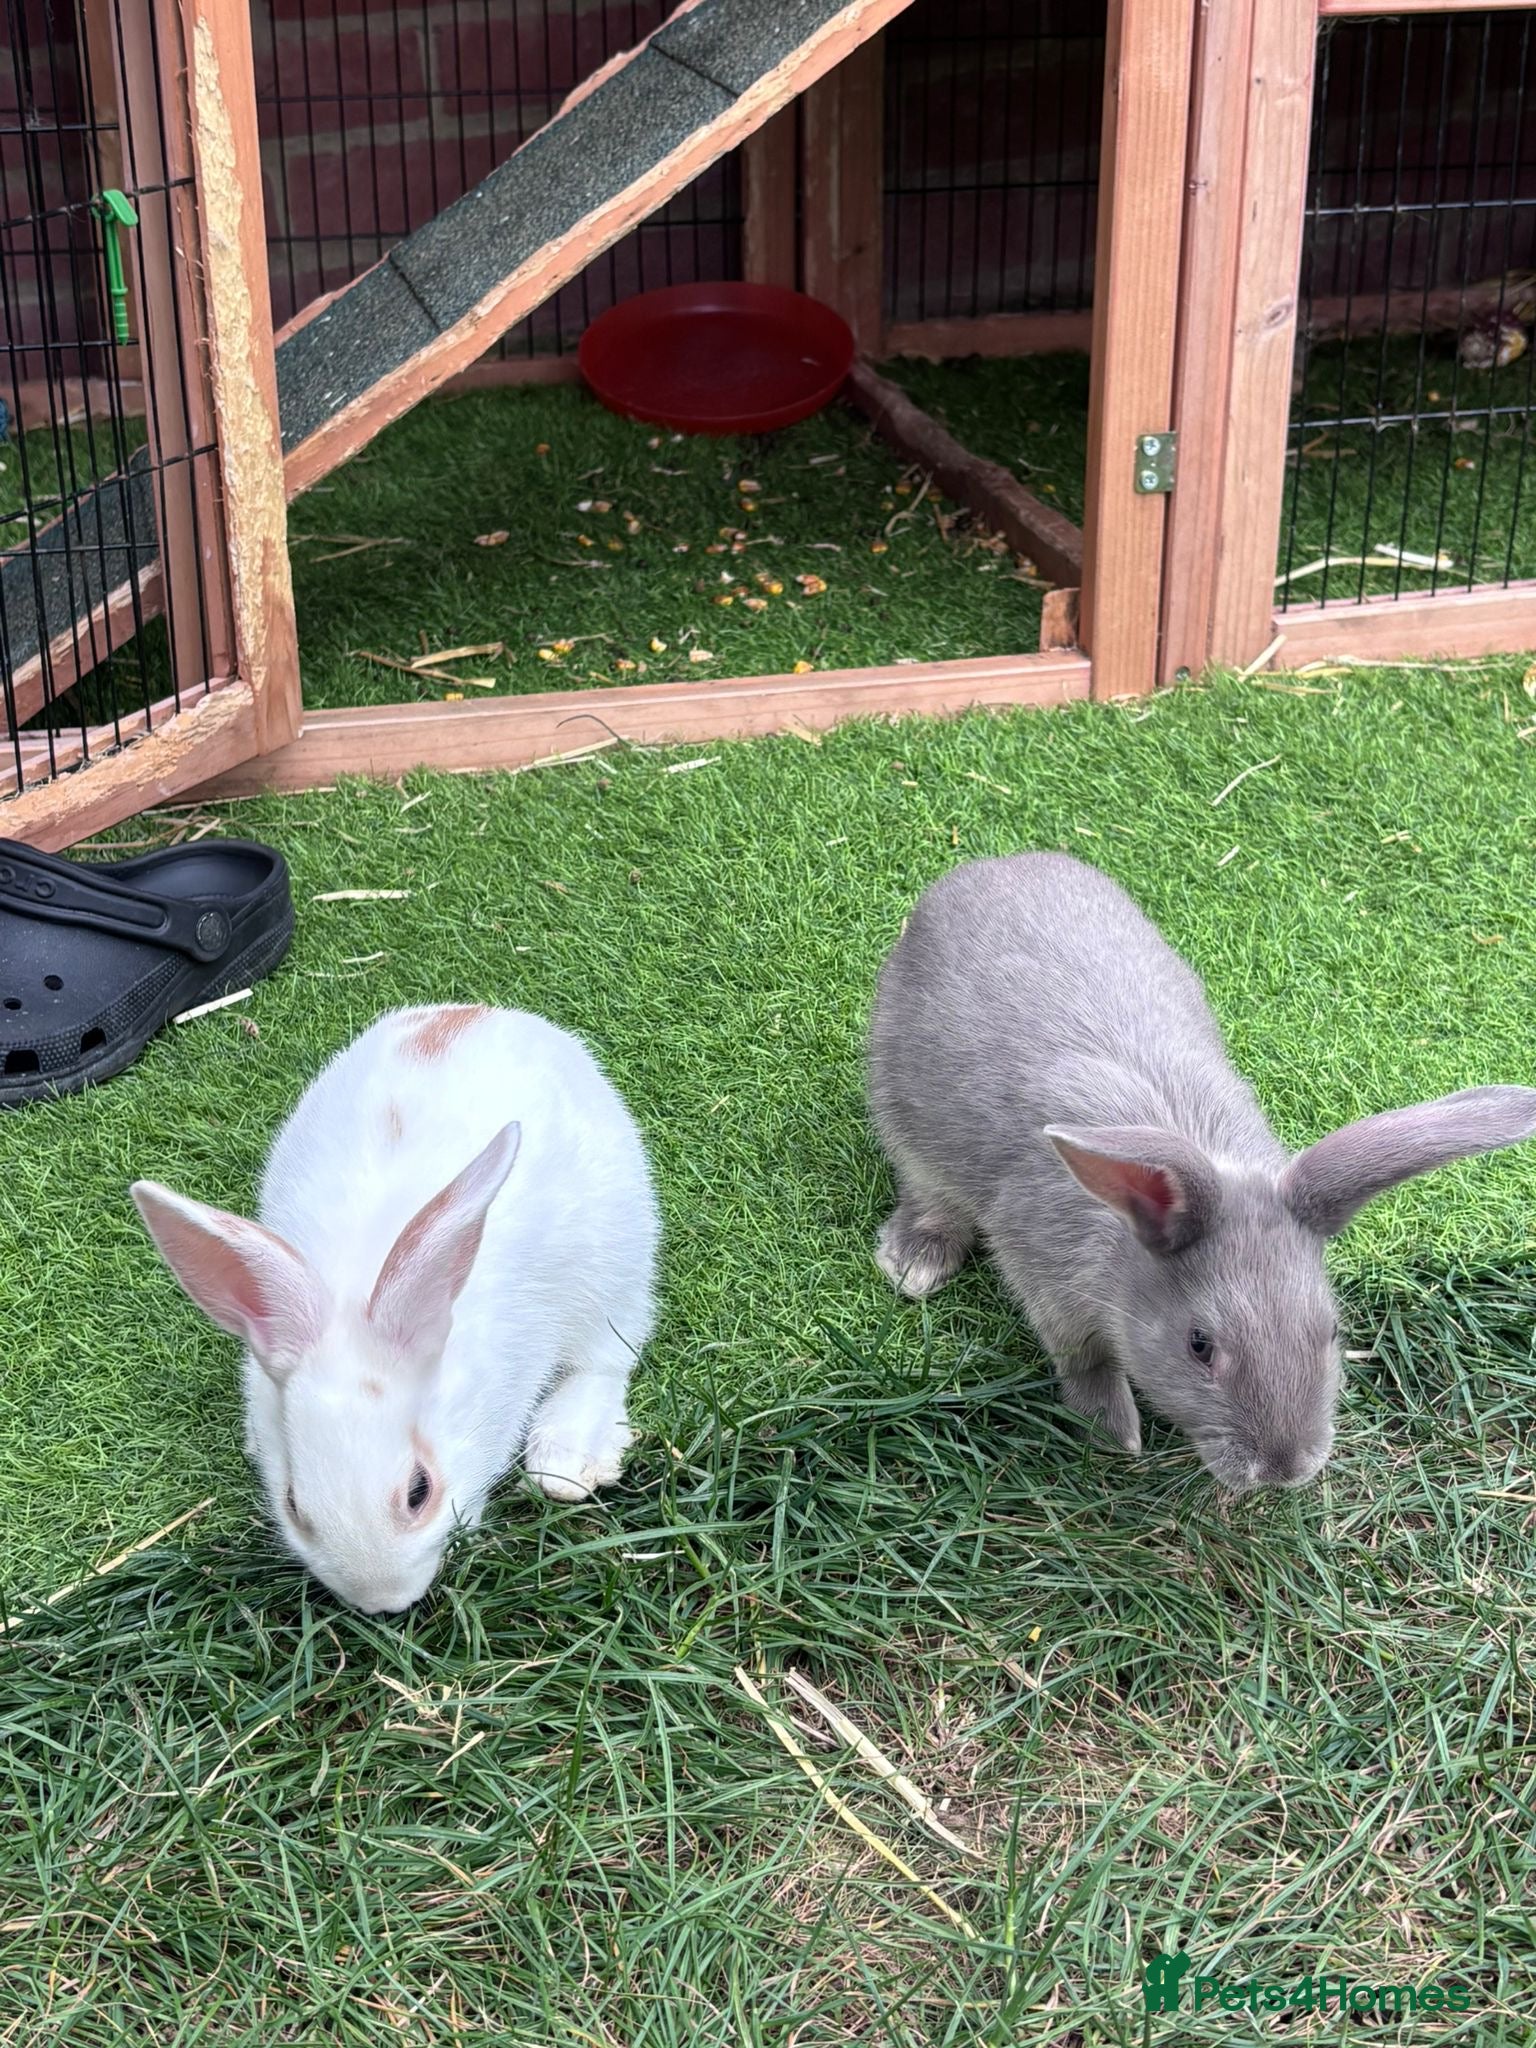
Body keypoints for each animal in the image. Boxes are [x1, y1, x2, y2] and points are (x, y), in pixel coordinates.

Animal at [131, 1004, 659, 1612]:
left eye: (419, 1492)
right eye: (294, 1504)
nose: (384, 1602)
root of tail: (481, 1012)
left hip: (616, 1264)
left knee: (604, 1361)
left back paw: (565, 1461)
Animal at [867, 854, 1536, 1492]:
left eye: (1330, 1330)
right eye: (1199, 1345)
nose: (1283, 1471)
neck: (1122, 1251)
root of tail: (988, 868)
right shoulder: (1047, 1278)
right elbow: (1084, 1360)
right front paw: (1115, 1433)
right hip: (902, 1114)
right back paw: (916, 1264)